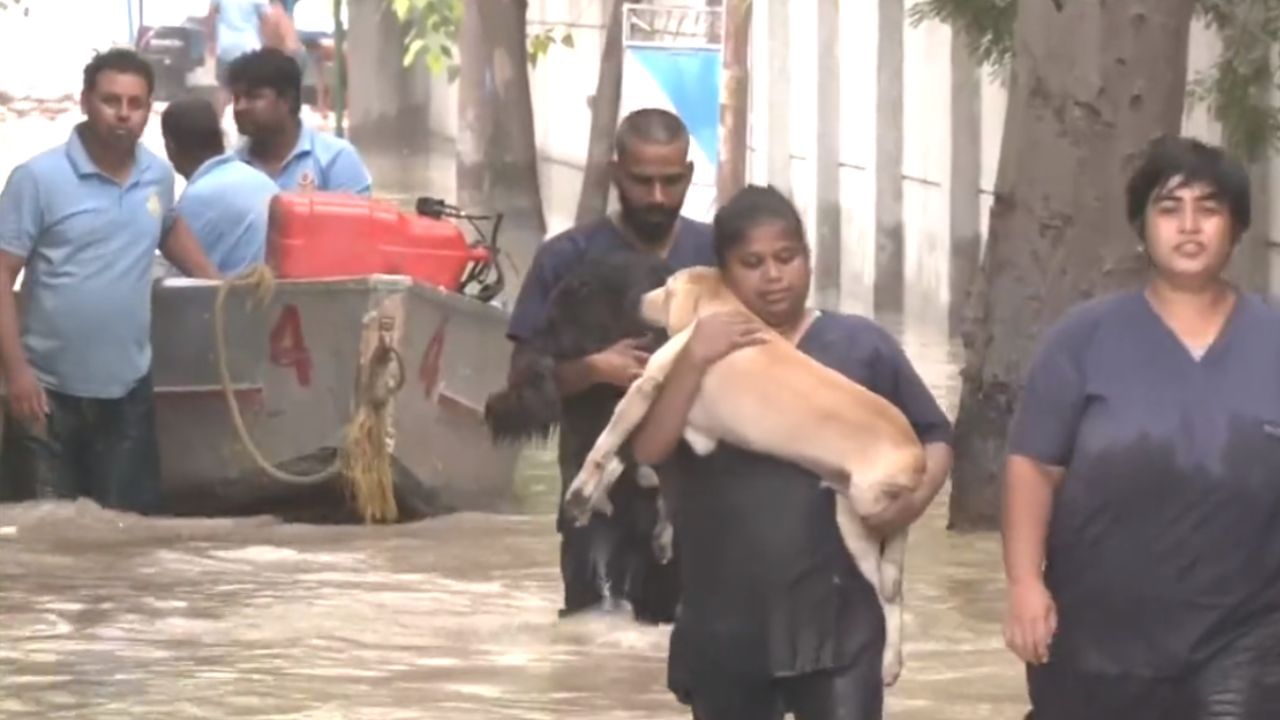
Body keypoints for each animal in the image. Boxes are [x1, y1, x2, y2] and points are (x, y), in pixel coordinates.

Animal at [565, 263, 926, 681]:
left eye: (668, 289)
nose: (638, 300)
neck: (722, 305)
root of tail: (917, 453)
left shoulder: (644, 388)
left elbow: (606, 445)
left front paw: (582, 492)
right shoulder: (695, 430)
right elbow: (630, 458)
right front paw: (614, 499)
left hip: (864, 509)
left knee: (888, 589)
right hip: (851, 515)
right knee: (893, 588)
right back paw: (892, 659)